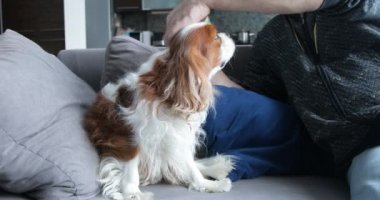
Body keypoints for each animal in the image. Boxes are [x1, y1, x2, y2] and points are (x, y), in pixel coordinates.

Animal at [84, 22, 236, 200]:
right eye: (217, 38)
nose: (228, 35)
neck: (168, 86)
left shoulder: (178, 136)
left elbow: (191, 166)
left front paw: (207, 184)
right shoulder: (129, 138)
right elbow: (131, 170)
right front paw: (132, 193)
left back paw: (216, 168)